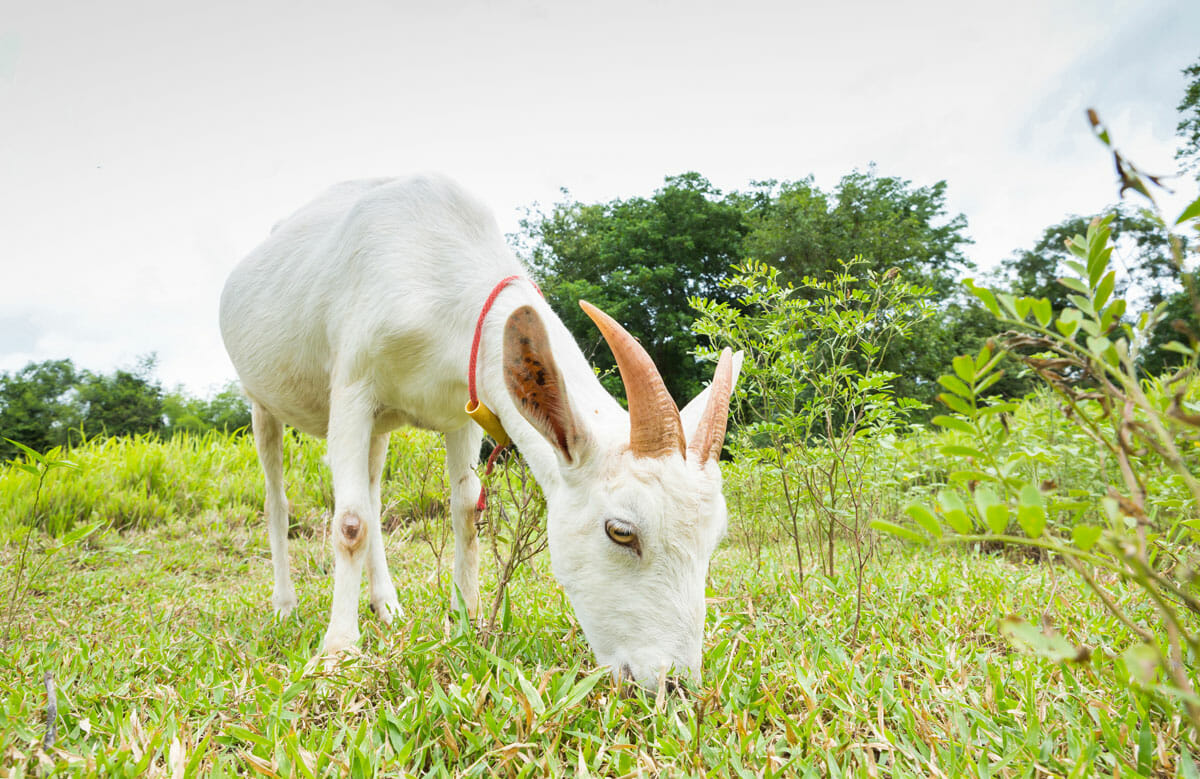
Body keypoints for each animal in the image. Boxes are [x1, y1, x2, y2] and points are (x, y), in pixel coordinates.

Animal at [219, 172, 734, 681]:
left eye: (714, 540)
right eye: (621, 531)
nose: (674, 682)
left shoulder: (461, 405)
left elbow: (466, 510)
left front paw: (467, 622)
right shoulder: (352, 387)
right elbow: (350, 524)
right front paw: (337, 652)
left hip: (381, 426)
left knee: (371, 489)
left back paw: (387, 605)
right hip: (261, 400)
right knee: (278, 499)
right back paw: (285, 605)